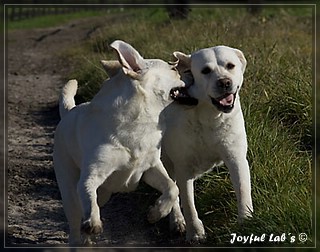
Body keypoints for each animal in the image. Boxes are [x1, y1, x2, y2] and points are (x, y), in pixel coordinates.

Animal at [53, 40, 184, 245]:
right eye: (172, 69)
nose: (181, 69)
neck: (139, 123)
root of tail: (68, 112)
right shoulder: (92, 174)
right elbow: (88, 192)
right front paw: (94, 221)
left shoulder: (151, 168)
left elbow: (172, 187)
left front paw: (156, 212)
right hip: (69, 189)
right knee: (75, 222)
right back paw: (81, 238)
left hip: (104, 194)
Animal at [162, 45, 252, 242]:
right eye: (205, 71)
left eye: (230, 65)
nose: (224, 82)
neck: (209, 117)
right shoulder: (183, 167)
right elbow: (188, 204)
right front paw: (195, 232)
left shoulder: (236, 158)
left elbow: (243, 191)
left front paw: (246, 222)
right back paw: (177, 221)